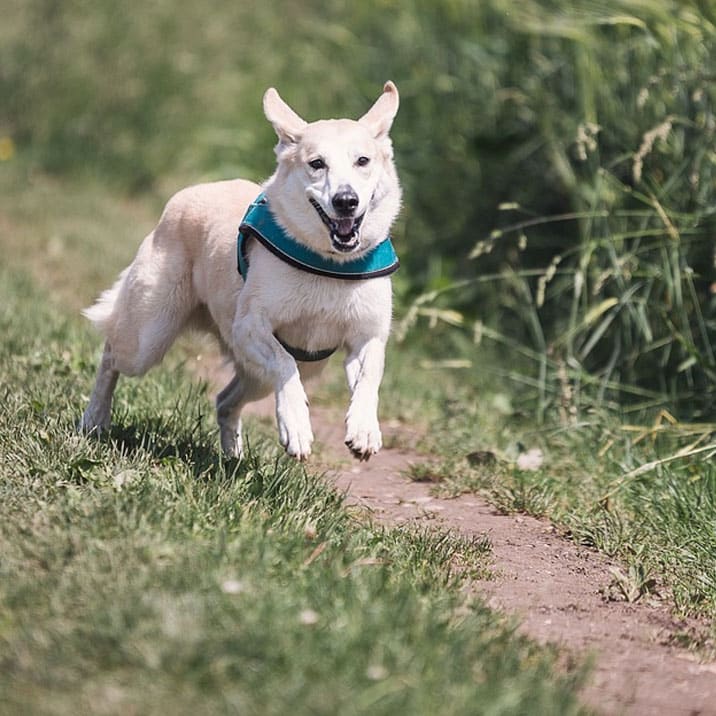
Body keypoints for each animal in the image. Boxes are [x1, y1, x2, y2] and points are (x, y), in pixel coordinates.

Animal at [81, 81, 402, 462]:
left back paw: (232, 457)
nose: (346, 201)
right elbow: (284, 364)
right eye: (316, 164)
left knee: (225, 400)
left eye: (363, 161)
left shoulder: (367, 337)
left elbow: (370, 378)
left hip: (268, 373)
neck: (328, 264)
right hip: (148, 336)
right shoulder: (250, 327)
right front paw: (296, 426)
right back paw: (94, 420)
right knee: (111, 355)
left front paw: (364, 430)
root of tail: (187, 194)